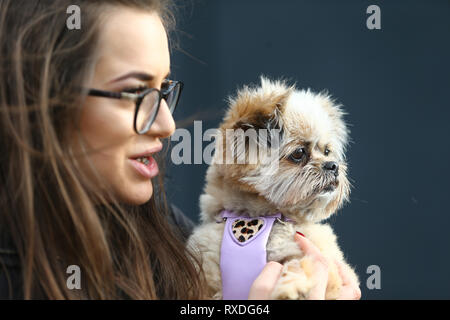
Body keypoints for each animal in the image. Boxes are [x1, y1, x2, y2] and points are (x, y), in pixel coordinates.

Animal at [186, 76, 358, 298]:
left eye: (327, 151)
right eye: (299, 153)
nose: (333, 166)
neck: (258, 215)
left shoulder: (327, 265)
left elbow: (298, 263)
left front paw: (290, 285)